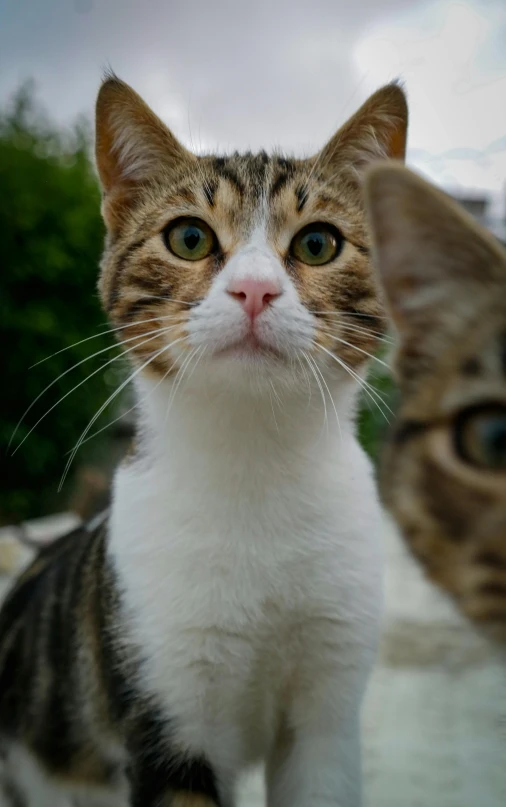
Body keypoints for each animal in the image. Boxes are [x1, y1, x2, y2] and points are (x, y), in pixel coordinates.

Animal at [0, 77, 408, 807]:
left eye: (318, 244)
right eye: (189, 237)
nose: (255, 289)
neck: (255, 467)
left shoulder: (328, 713)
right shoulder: (165, 714)